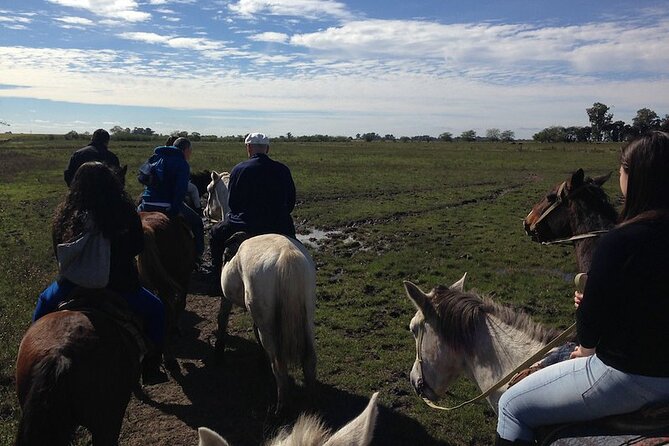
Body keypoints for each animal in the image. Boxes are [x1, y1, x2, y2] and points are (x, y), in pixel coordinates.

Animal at [217, 235, 316, 412]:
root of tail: (286, 257)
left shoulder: (228, 298)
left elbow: (223, 317)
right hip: (307, 319)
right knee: (309, 360)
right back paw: (311, 403)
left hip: (268, 327)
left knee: (278, 365)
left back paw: (281, 407)